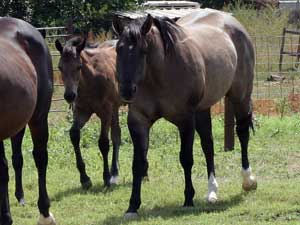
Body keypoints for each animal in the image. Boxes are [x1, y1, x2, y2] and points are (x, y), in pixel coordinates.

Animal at [55, 36, 122, 188]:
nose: (69, 96)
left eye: (78, 67)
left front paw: (106, 177)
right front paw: (84, 178)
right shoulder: (82, 112)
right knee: (117, 135)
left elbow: (103, 143)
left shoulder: (106, 112)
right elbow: (74, 135)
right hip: (115, 108)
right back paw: (115, 173)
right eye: (60, 67)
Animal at [112, 9, 258, 218]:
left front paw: (188, 199)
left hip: (240, 96)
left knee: (243, 133)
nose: (126, 91)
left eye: (143, 51)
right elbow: (138, 163)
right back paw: (212, 192)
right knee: (208, 145)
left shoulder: (185, 120)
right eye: (119, 49)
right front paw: (132, 206)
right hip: (203, 109)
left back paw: (248, 180)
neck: (159, 75)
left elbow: (186, 159)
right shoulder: (138, 121)